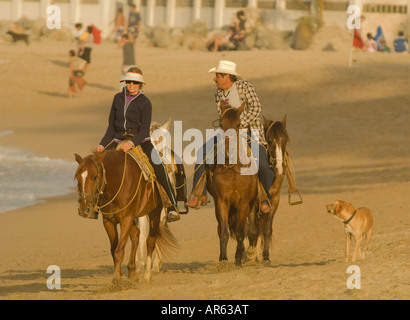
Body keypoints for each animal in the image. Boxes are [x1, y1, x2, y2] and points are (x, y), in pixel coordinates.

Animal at [74, 150, 177, 282]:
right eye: (77, 178)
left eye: (94, 177)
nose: (84, 209)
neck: (116, 183)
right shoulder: (108, 221)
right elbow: (114, 249)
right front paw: (120, 274)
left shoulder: (126, 219)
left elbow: (119, 250)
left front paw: (117, 279)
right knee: (136, 234)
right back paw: (133, 271)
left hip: (155, 213)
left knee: (150, 241)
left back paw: (147, 275)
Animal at [207, 101, 258, 266]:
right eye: (221, 124)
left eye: (238, 124)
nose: (229, 153)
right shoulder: (222, 201)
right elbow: (224, 231)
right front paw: (223, 258)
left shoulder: (244, 203)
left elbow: (242, 232)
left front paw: (238, 258)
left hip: (253, 204)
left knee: (251, 229)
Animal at [247, 114, 288, 262]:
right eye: (269, 140)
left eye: (285, 139)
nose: (279, 169)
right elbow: (251, 230)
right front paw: (250, 255)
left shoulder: (274, 200)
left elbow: (267, 229)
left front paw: (265, 257)